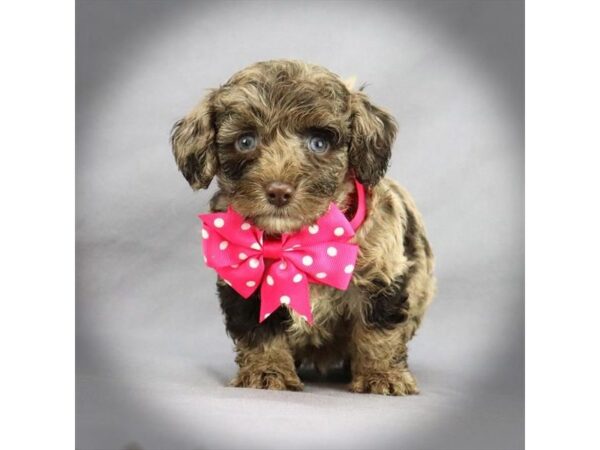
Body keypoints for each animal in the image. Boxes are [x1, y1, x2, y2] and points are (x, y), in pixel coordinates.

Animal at [171, 59, 434, 394]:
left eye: (319, 143)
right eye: (245, 141)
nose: (278, 192)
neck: (298, 241)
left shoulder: (381, 276)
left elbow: (380, 332)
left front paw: (382, 375)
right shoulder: (245, 287)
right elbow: (259, 333)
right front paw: (266, 371)